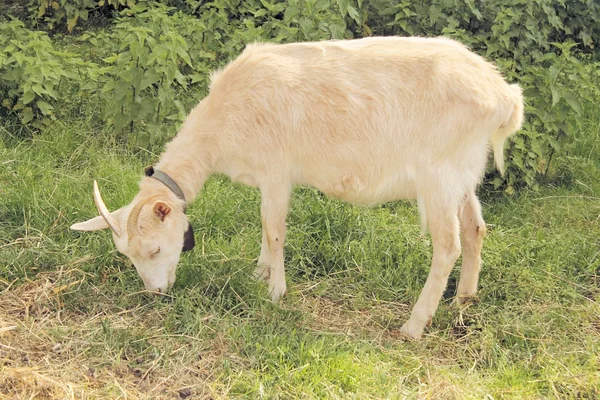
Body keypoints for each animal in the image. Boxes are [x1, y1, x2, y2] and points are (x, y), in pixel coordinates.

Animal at [70, 36, 524, 338]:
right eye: (127, 256)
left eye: (154, 250)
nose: (157, 293)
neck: (224, 121)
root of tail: (505, 97)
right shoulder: (266, 177)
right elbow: (264, 228)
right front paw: (259, 273)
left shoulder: (276, 170)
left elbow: (274, 229)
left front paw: (275, 292)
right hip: (464, 171)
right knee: (476, 228)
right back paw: (464, 300)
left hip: (439, 175)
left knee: (448, 245)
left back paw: (414, 324)